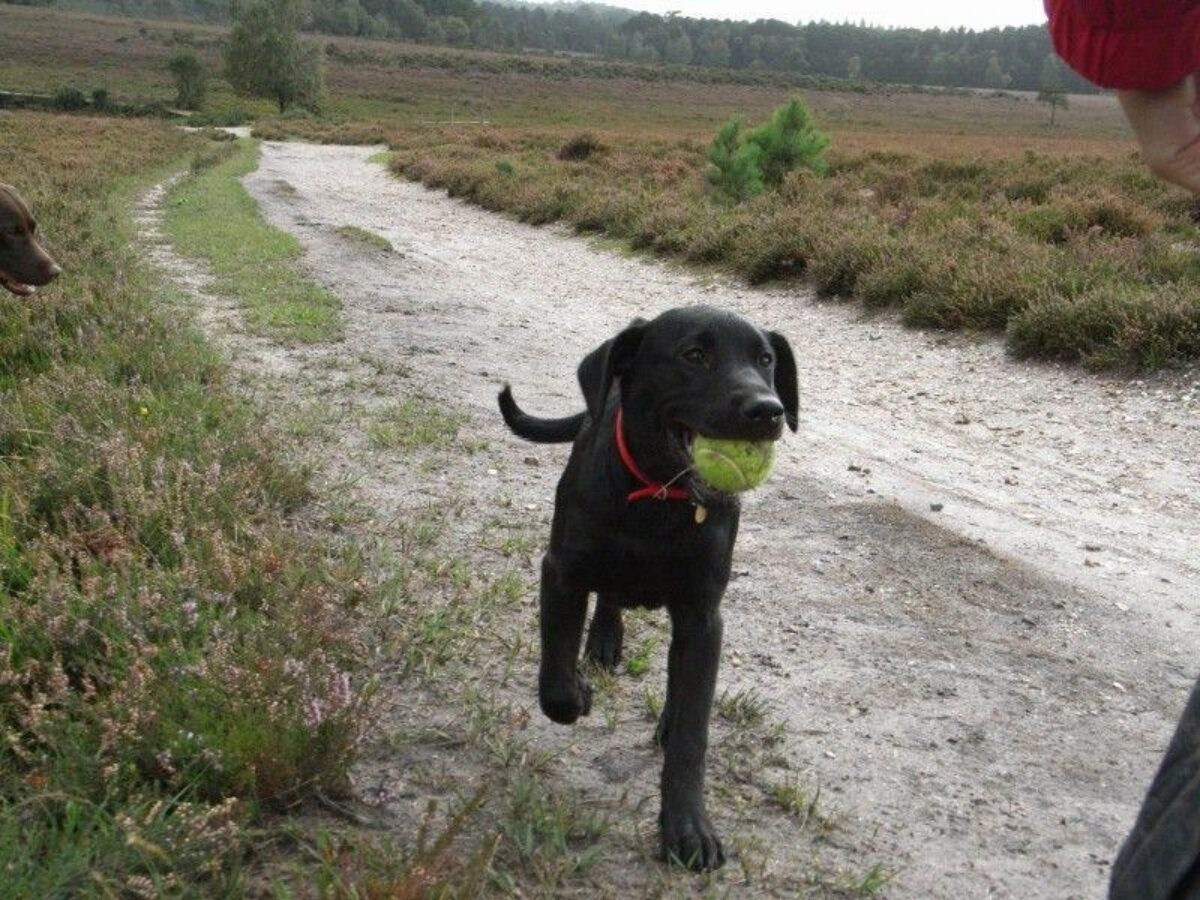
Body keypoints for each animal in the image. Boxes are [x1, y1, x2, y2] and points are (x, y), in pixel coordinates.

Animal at [496, 307, 796, 868]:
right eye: (694, 355)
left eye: (765, 360)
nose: (768, 410)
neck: (659, 497)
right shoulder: (561, 573)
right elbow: (555, 682)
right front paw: (578, 691)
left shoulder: (703, 617)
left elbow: (692, 730)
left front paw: (687, 827)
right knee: (608, 600)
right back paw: (603, 641)